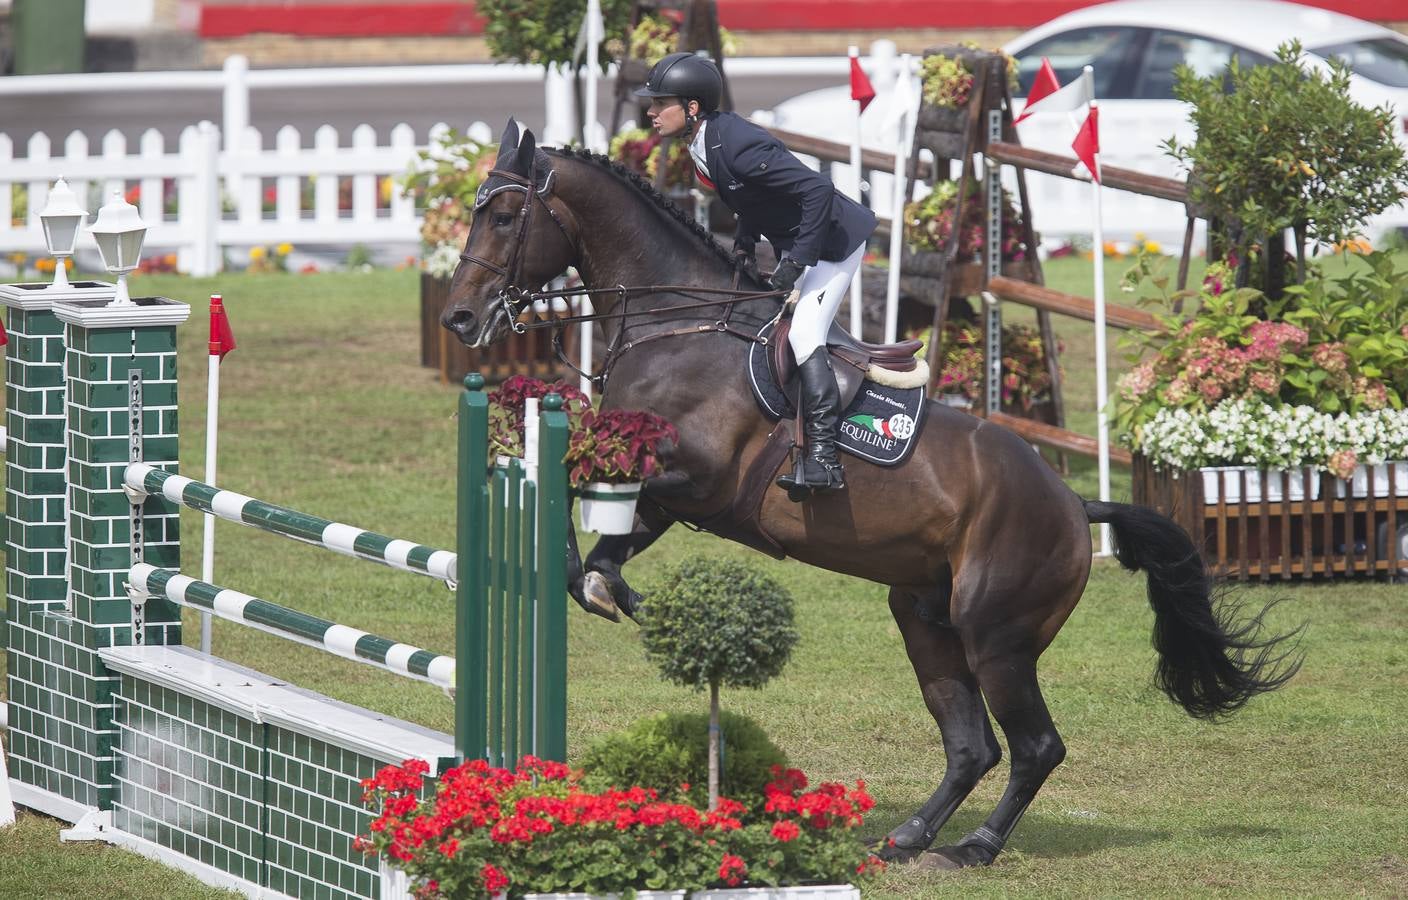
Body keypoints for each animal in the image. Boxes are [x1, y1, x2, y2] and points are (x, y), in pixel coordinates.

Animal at [436, 123, 1295, 867]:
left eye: (505, 216)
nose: (460, 316)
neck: (677, 322)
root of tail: (1076, 509)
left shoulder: (700, 478)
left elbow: (579, 485)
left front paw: (602, 585)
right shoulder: (666, 493)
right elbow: (606, 528)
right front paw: (603, 585)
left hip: (998, 633)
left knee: (1034, 746)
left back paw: (973, 848)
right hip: (925, 619)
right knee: (972, 744)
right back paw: (907, 837)